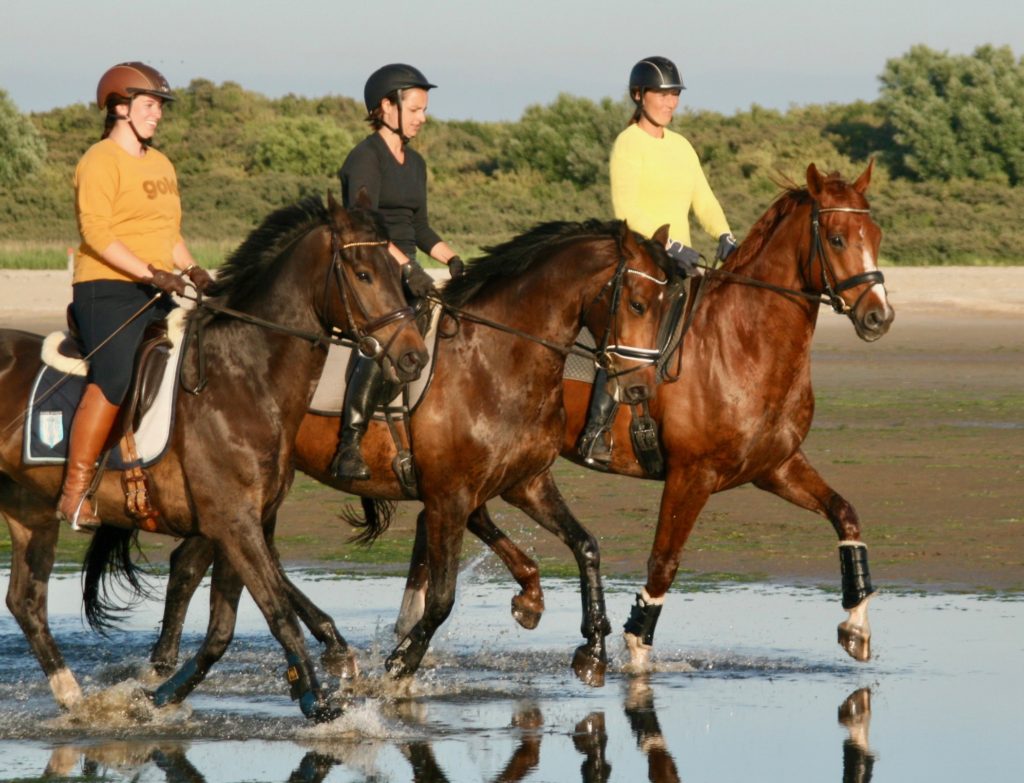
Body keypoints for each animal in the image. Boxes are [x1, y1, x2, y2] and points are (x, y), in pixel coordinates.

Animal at [0, 192, 428, 716]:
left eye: (397, 270)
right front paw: (319, 704)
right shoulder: (234, 522)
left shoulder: (246, 520)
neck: (243, 378)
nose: (413, 357)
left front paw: (161, 696)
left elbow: (225, 627)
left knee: (25, 601)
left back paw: (74, 696)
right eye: (364, 274)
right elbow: (276, 610)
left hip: (30, 509)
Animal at [103, 218, 675, 683]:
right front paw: (402, 662)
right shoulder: (450, 496)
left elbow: (586, 546)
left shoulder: (524, 482)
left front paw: (589, 646)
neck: (496, 358)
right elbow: (442, 596)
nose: (640, 387)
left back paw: (172, 661)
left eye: (666, 308)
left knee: (195, 562)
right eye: (638, 304)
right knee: (213, 562)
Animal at [395, 158, 892, 667]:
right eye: (837, 238)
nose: (878, 315)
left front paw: (856, 622)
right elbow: (663, 562)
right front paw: (636, 648)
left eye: (874, 234)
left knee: (441, 518)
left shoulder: (776, 466)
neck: (742, 341)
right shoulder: (692, 476)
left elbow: (845, 513)